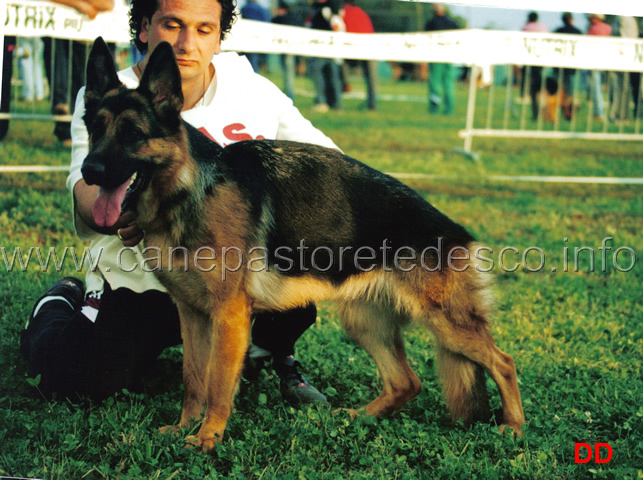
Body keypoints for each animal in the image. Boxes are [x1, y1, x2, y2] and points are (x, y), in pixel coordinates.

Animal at [82, 36, 524, 450]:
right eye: (94, 129)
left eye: (133, 135)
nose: (88, 171)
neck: (189, 188)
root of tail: (455, 231)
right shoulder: (191, 314)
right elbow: (194, 378)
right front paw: (183, 428)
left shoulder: (228, 315)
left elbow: (217, 383)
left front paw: (208, 437)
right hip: (363, 322)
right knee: (407, 382)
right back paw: (359, 417)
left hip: (446, 323)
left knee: (503, 362)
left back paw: (514, 428)